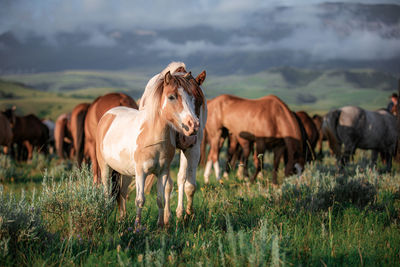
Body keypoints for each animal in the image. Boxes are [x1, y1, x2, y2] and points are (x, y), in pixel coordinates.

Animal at [95, 71, 202, 228]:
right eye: (171, 96)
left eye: (191, 97)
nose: (193, 125)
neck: (153, 136)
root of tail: (108, 115)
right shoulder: (141, 172)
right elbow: (140, 200)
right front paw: (137, 227)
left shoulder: (162, 172)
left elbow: (160, 199)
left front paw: (161, 225)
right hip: (105, 168)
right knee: (106, 193)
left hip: (126, 172)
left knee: (122, 193)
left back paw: (122, 219)